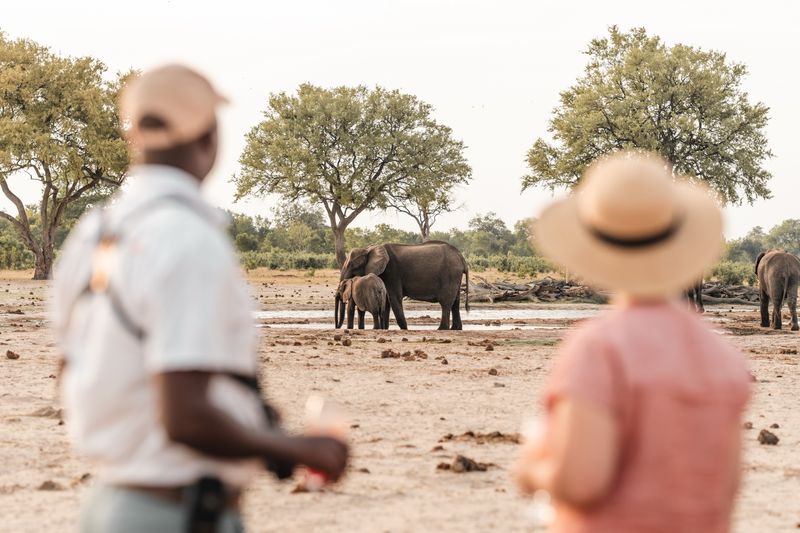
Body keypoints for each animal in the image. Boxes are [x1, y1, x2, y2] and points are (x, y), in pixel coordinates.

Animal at [339, 241, 469, 330]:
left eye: (353, 265)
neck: (369, 248)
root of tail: (461, 258)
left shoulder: (392, 272)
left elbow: (394, 298)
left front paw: (404, 328)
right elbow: (386, 301)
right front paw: (385, 329)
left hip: (450, 275)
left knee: (446, 302)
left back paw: (441, 329)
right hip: (455, 277)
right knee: (455, 302)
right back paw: (456, 329)